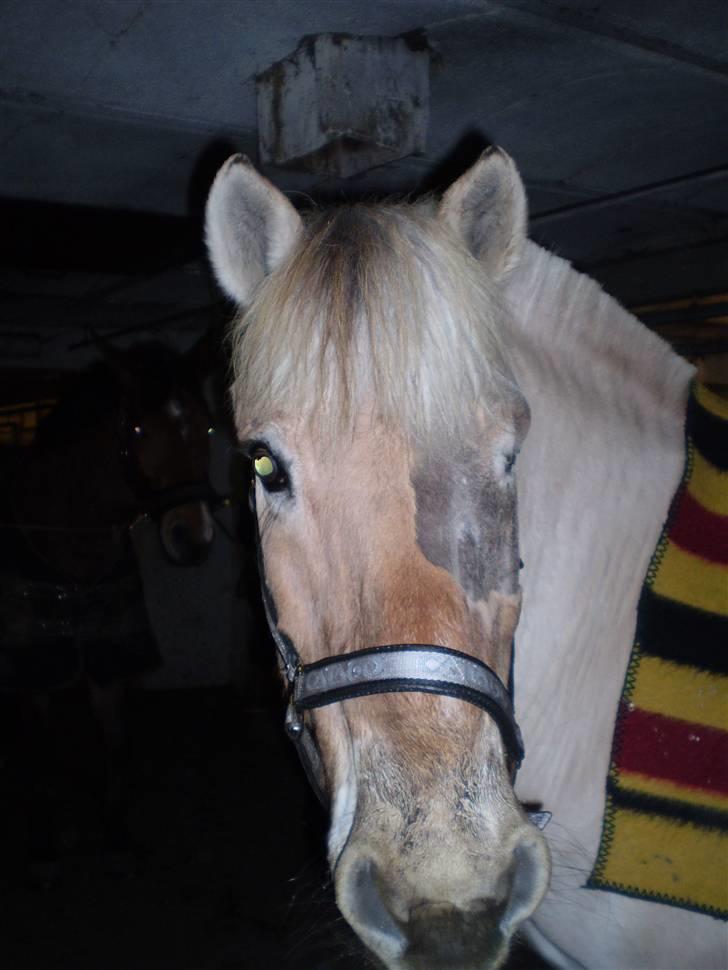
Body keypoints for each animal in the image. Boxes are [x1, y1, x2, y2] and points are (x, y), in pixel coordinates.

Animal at [0, 339, 216, 875]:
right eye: (137, 430)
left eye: (207, 426)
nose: (193, 539)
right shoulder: (39, 664)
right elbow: (42, 749)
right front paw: (45, 838)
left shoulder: (109, 656)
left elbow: (116, 743)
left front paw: (116, 830)